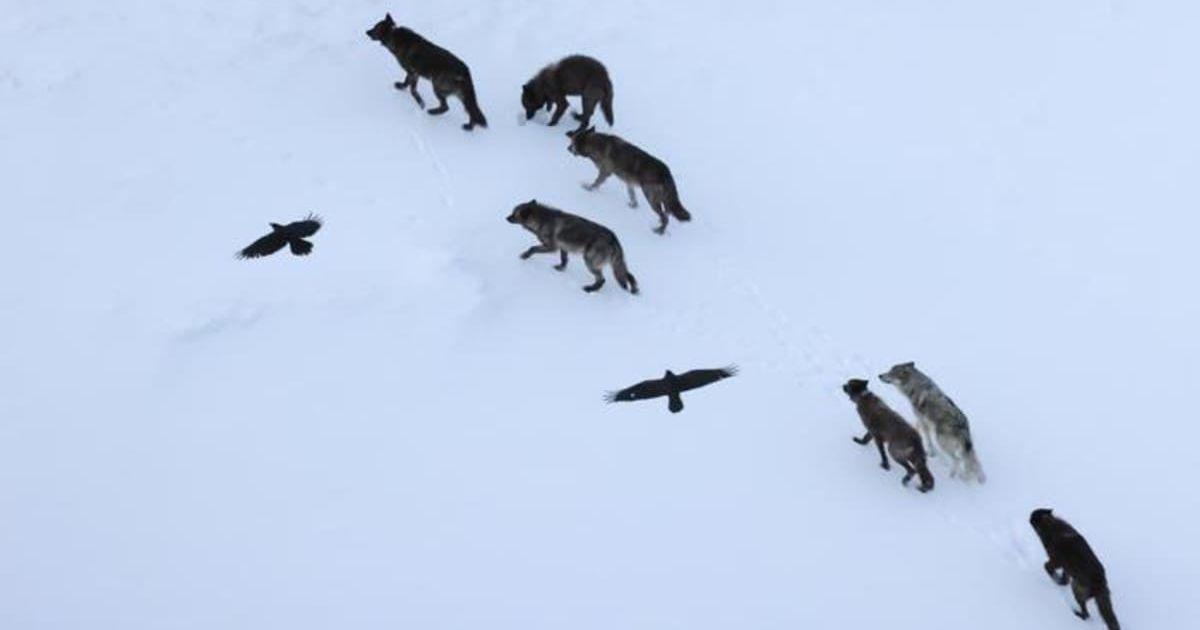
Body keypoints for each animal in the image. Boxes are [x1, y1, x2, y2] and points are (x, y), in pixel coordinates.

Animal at [506, 200, 638, 294]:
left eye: (514, 213)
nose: (506, 218)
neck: (542, 220)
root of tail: (613, 238)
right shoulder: (563, 248)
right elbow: (564, 260)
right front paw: (561, 268)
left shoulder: (551, 247)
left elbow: (532, 248)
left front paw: (525, 255)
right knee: (626, 275)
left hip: (589, 261)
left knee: (602, 280)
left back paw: (590, 289)